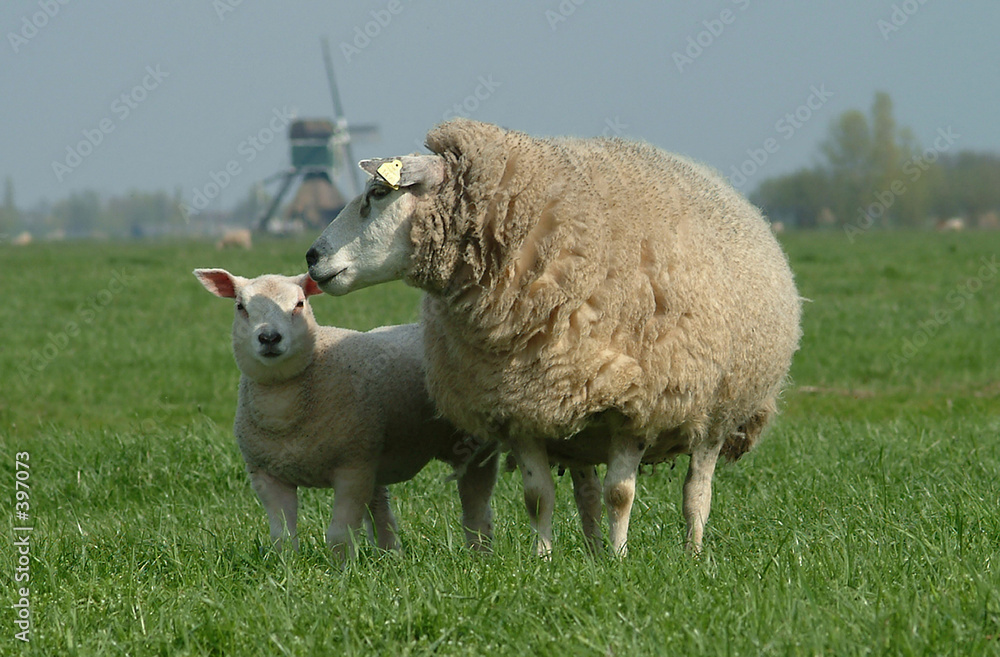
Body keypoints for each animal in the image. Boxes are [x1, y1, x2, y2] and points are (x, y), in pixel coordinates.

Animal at [193, 267, 498, 560]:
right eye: (240, 306)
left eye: (300, 303)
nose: (269, 338)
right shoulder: (267, 475)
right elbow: (283, 538)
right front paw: (287, 569)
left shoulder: (351, 469)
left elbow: (339, 536)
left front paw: (342, 571)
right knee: (380, 509)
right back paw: (390, 557)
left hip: (471, 447)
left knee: (476, 507)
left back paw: (479, 556)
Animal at [305, 118, 802, 557]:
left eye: (377, 193)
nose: (311, 256)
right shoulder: (519, 406)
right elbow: (539, 496)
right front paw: (543, 560)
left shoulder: (636, 404)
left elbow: (621, 493)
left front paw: (621, 561)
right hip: (573, 422)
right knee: (586, 493)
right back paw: (592, 551)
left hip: (715, 411)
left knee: (696, 491)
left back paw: (691, 554)